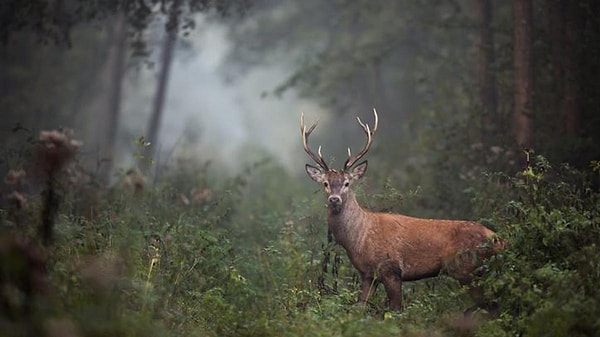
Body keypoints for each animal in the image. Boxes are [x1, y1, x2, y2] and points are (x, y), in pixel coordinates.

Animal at [298, 108, 502, 310]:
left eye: (347, 183)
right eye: (325, 183)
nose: (334, 199)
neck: (359, 240)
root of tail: (497, 238)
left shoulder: (391, 269)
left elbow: (396, 310)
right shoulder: (368, 274)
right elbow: (360, 307)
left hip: (466, 268)